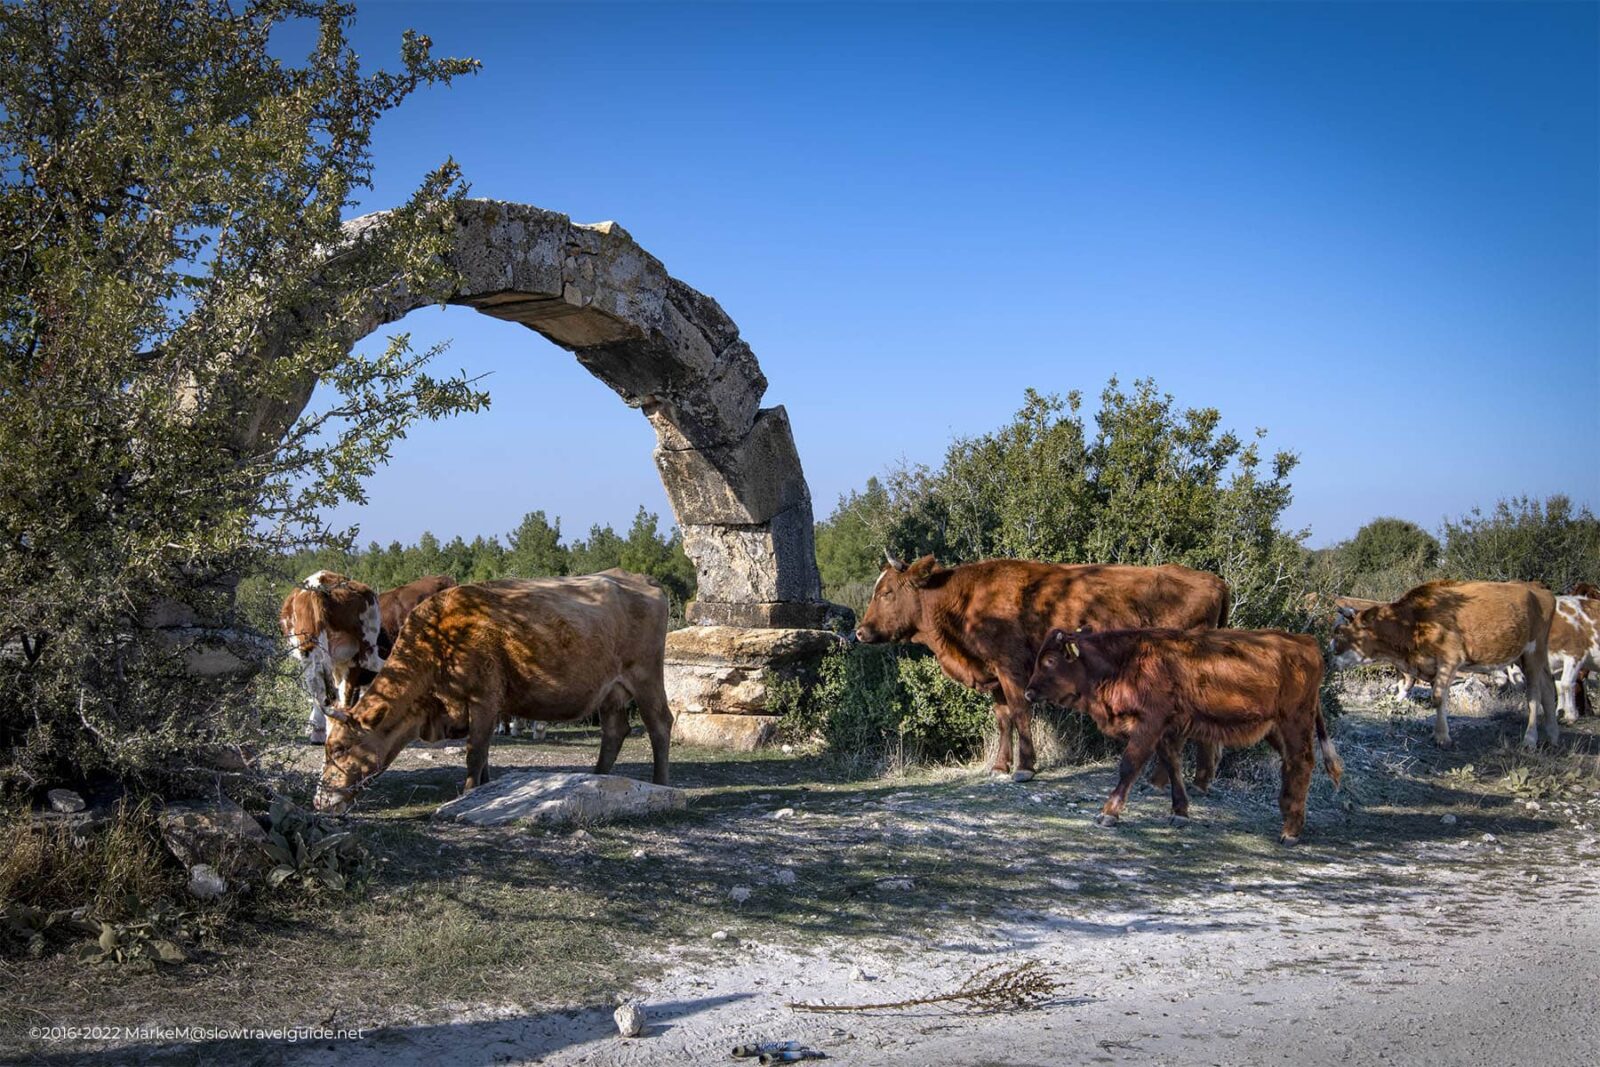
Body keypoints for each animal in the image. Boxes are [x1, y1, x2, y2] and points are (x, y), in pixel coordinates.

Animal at [312, 575, 668, 819]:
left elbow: (474, 753)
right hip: (611, 691)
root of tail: (640, 579)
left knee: (659, 724)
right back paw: (596, 779)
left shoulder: (484, 700)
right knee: (615, 730)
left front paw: (467, 795)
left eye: (340, 748)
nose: (318, 800)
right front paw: (481, 793)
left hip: (647, 676)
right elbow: (482, 758)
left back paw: (661, 785)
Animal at [857, 559, 1228, 783]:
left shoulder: (1010, 667)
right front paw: (1000, 765)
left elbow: (1021, 712)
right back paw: (1201, 777)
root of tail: (1212, 579)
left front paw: (1025, 768)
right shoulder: (994, 673)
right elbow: (1003, 717)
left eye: (887, 592)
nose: (860, 632)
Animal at [1024, 627, 1337, 844]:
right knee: (1289, 764)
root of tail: (1306, 641)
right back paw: (1288, 813)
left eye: (1049, 660)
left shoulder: (1149, 724)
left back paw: (1290, 831)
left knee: (1301, 763)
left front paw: (1108, 813)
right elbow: (1172, 765)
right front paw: (1179, 812)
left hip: (1294, 722)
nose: (1029, 692)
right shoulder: (1165, 729)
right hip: (1274, 728)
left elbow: (1129, 765)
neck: (1124, 661)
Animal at [1324, 579, 1561, 748]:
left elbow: (1437, 697)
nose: (1327, 658)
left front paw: (1442, 737)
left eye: (1340, 633)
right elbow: (1439, 697)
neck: (1414, 622)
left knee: (1534, 695)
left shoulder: (1450, 658)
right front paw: (1440, 732)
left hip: (1533, 652)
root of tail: (1537, 587)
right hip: (1530, 655)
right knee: (1549, 689)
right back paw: (1552, 735)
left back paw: (1530, 739)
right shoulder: (1430, 666)